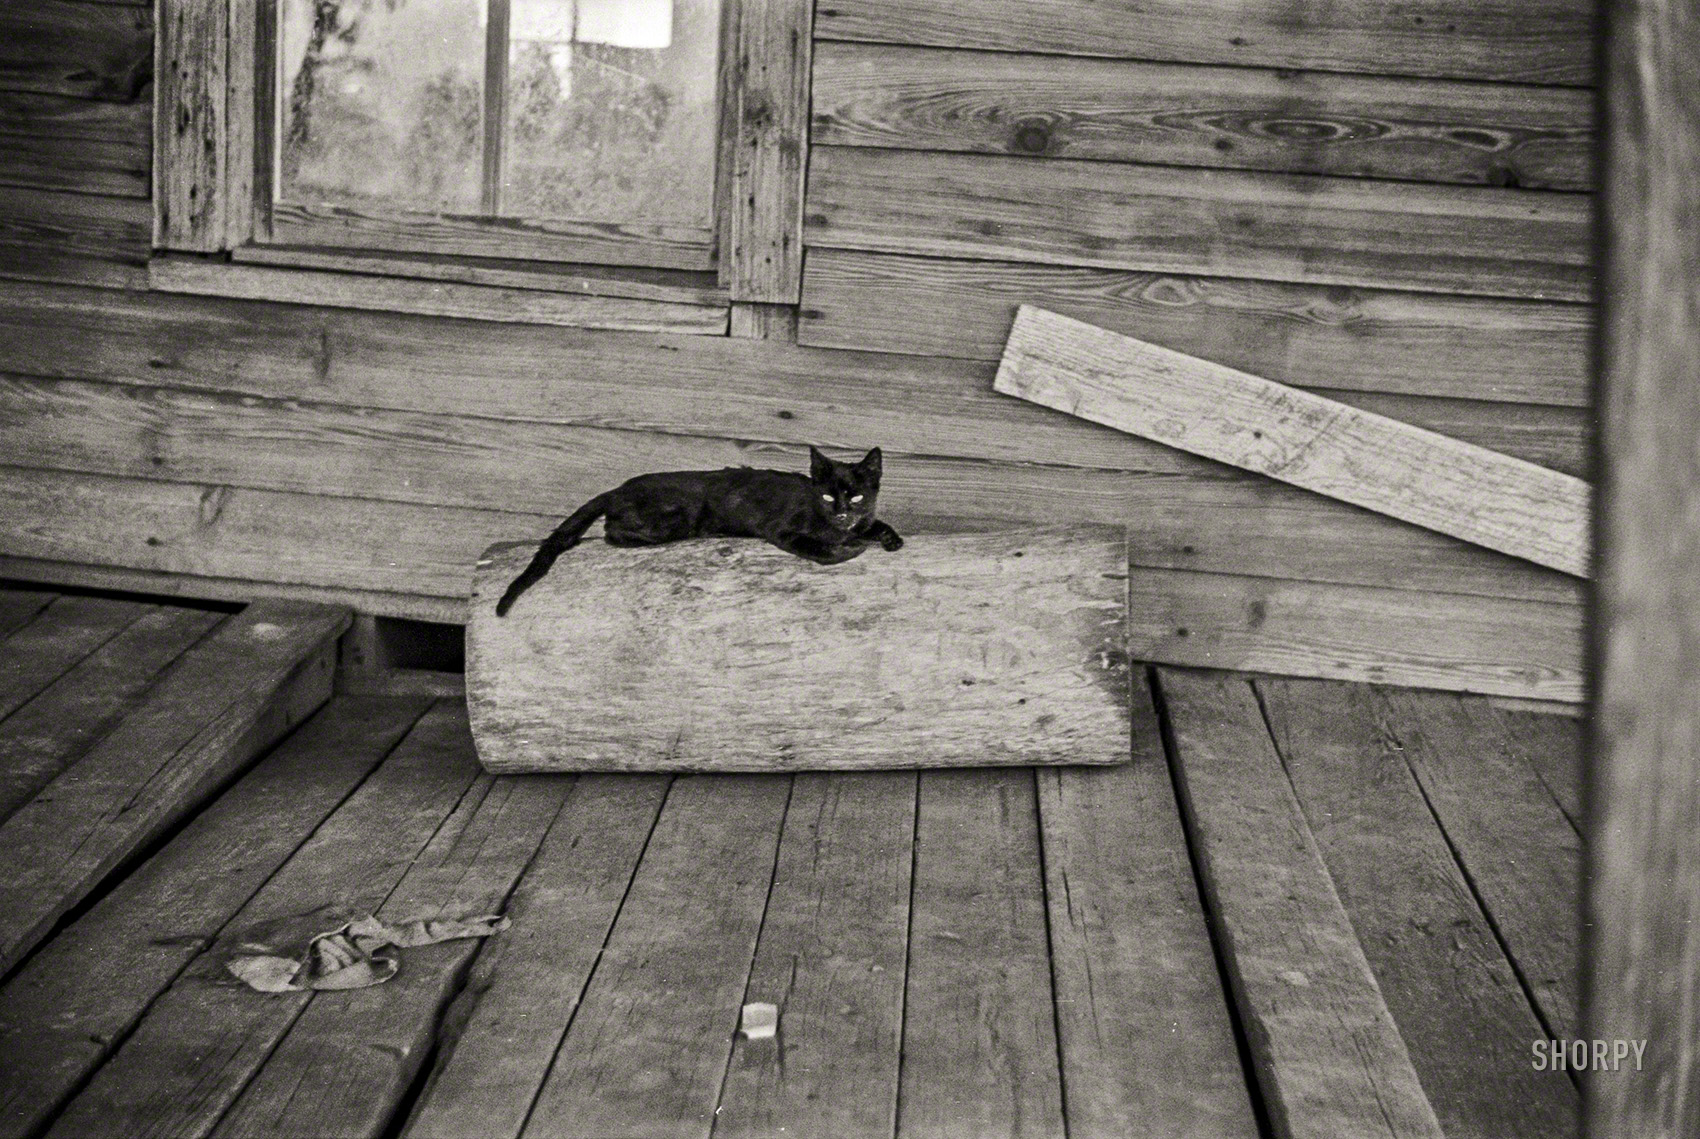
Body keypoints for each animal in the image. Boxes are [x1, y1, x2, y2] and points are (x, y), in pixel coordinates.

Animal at [495, 446, 903, 616]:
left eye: (857, 496)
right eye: (827, 495)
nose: (843, 513)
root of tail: (617, 489)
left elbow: (875, 524)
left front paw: (889, 537)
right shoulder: (782, 531)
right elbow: (819, 549)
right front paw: (849, 547)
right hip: (673, 518)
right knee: (612, 531)